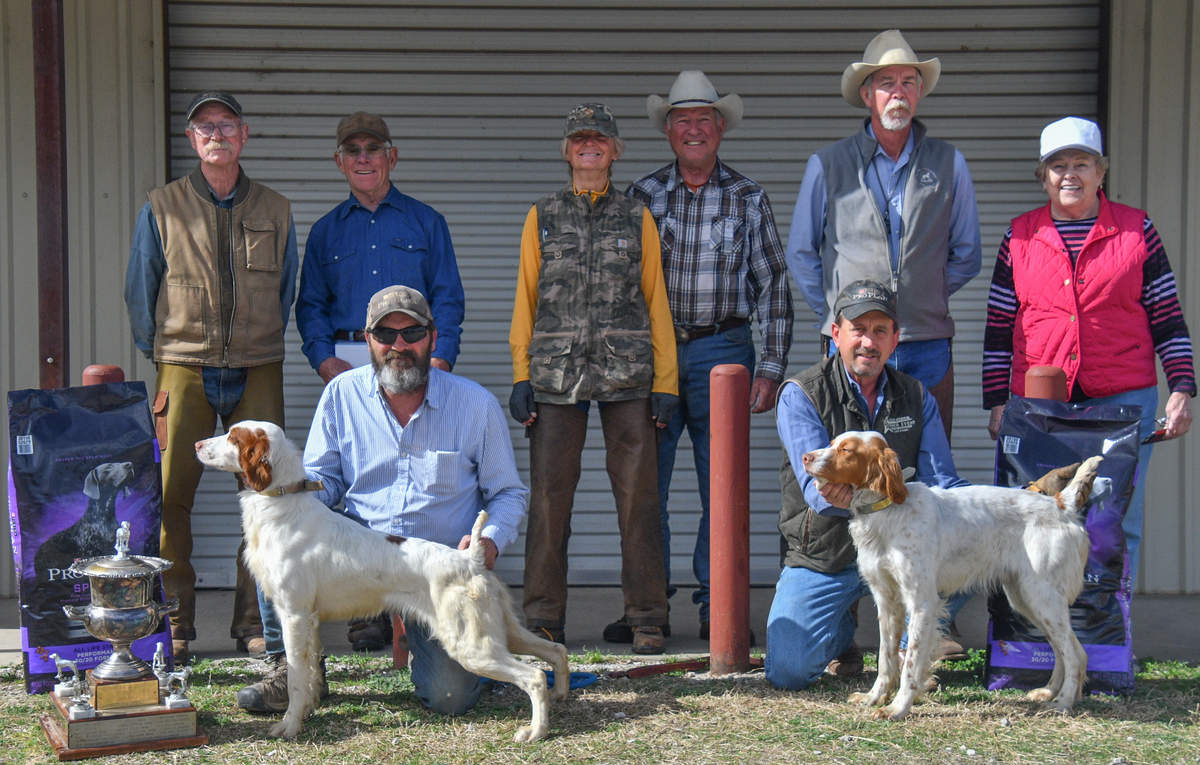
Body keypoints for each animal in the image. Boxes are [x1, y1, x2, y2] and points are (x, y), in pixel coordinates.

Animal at [196, 419, 571, 743]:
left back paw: (535, 731)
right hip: (502, 631)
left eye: (233, 436)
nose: (197, 444)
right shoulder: (310, 621)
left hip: (472, 645)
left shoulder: (294, 614)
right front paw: (308, 711)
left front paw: (289, 726)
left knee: (534, 676)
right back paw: (561, 695)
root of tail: (472, 558)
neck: (284, 506)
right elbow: (312, 673)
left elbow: (297, 678)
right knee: (555, 650)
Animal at [801, 434, 1099, 724]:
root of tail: (1062, 505)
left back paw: (1062, 703)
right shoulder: (887, 601)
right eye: (831, 443)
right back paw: (1048, 692)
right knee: (1067, 650)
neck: (888, 511)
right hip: (1027, 599)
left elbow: (911, 664)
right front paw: (873, 698)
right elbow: (886, 659)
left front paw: (897, 708)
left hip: (1041, 596)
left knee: (1075, 653)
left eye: (846, 450)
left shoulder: (922, 603)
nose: (805, 457)